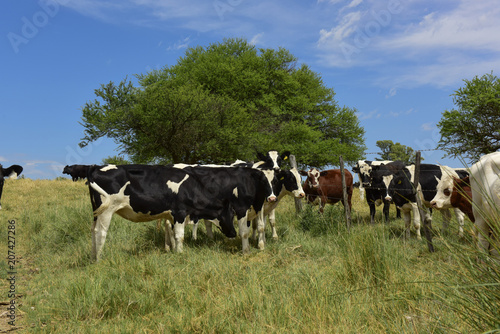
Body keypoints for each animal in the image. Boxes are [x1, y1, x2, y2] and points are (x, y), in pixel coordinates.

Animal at [88, 164, 278, 260]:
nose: (231, 233)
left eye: (275, 181)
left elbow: (174, 234)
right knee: (101, 234)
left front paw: (174, 251)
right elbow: (180, 236)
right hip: (106, 211)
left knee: (93, 232)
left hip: (96, 212)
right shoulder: (179, 212)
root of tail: (95, 169)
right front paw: (180, 253)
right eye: (227, 214)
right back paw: (99, 258)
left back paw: (93, 256)